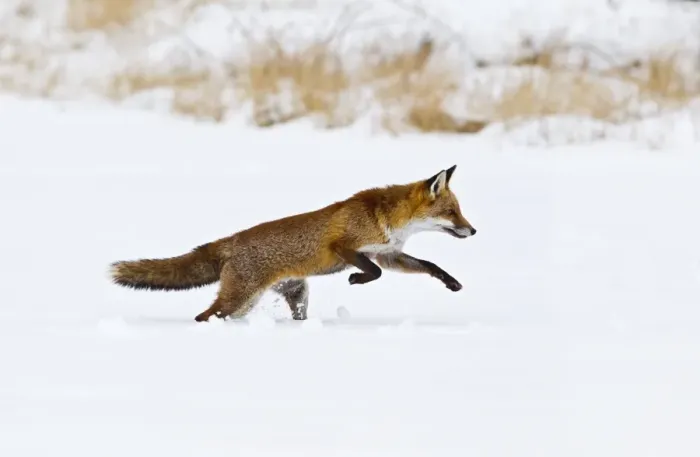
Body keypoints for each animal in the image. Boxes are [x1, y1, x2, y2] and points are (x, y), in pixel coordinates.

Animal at [109, 165, 477, 322]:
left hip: (295, 295)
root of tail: (229, 241)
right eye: (452, 212)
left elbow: (428, 265)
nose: (473, 231)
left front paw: (452, 282)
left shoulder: (388, 254)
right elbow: (373, 273)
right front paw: (355, 278)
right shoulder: (344, 247)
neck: (388, 220)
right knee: (205, 315)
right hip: (238, 300)